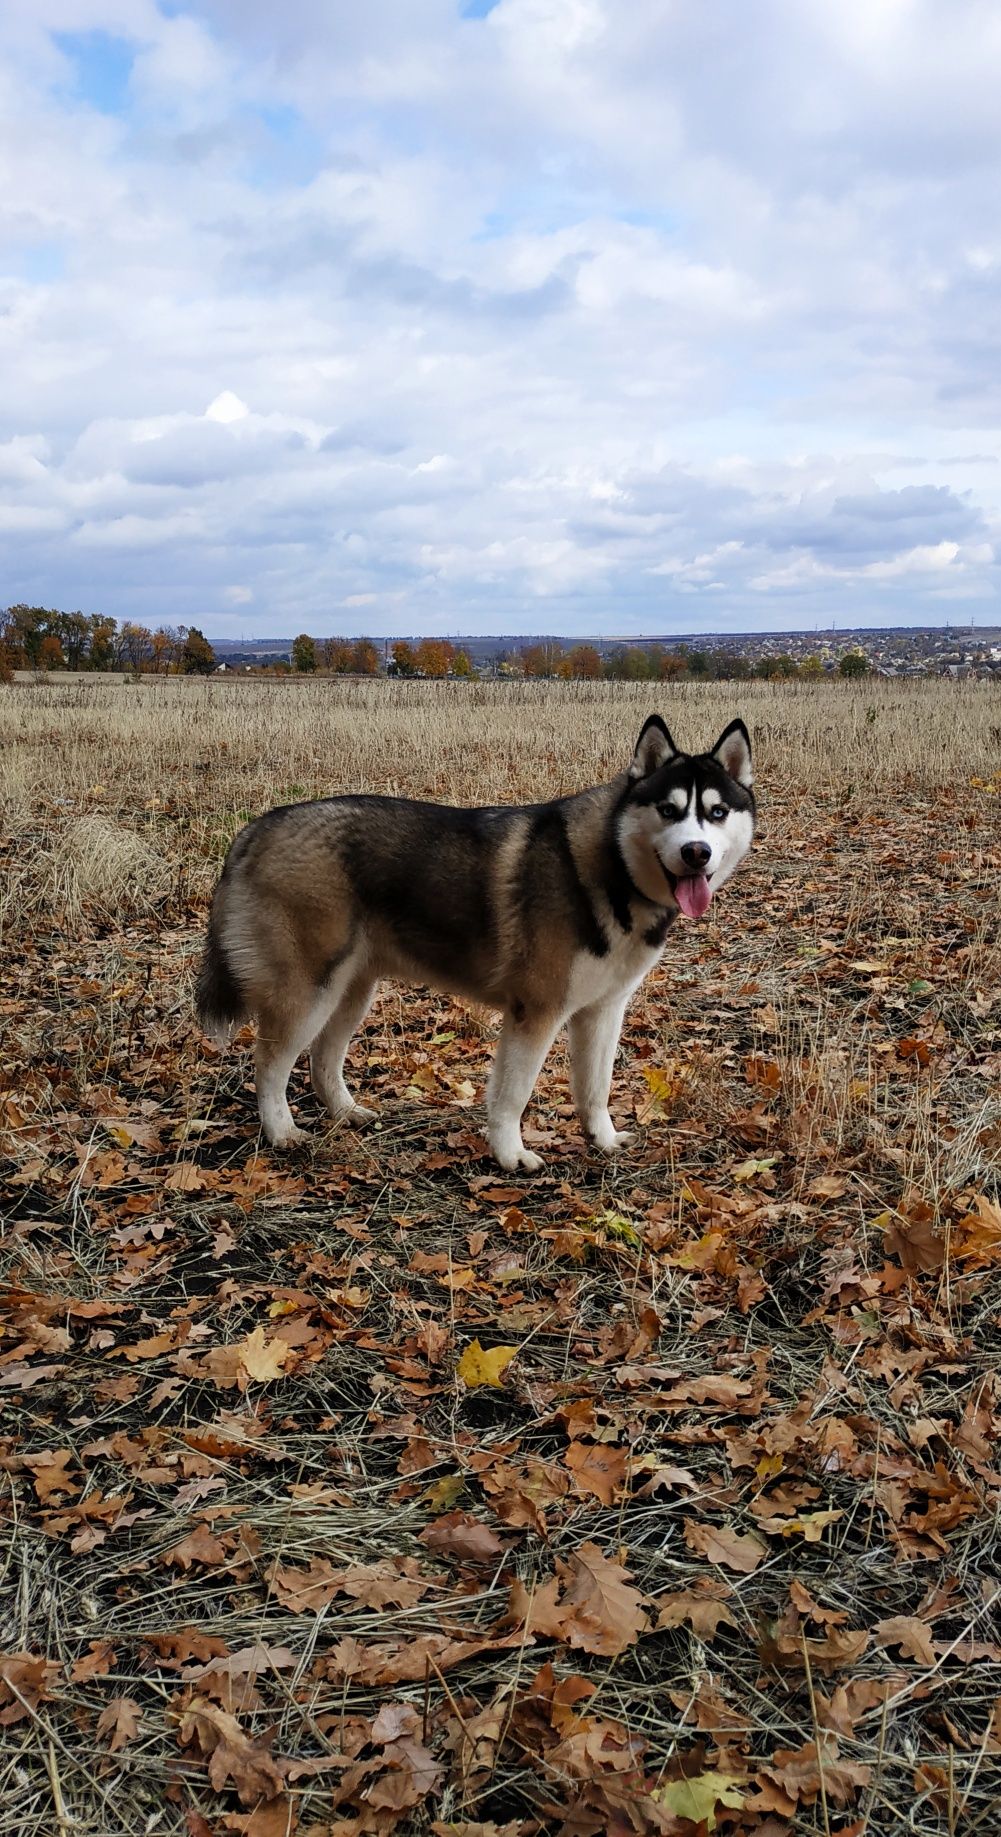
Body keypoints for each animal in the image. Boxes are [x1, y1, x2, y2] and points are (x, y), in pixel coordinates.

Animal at [194, 709, 753, 1168]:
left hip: (351, 991)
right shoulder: (536, 1012)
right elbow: (512, 1094)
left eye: (717, 812)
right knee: (270, 1066)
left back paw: (346, 1112)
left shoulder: (603, 1010)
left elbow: (595, 1087)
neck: (611, 869)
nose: (697, 852)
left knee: (321, 1060)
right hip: (308, 990)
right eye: (668, 810)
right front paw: (510, 1155)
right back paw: (281, 1132)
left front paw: (604, 1139)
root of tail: (257, 828)